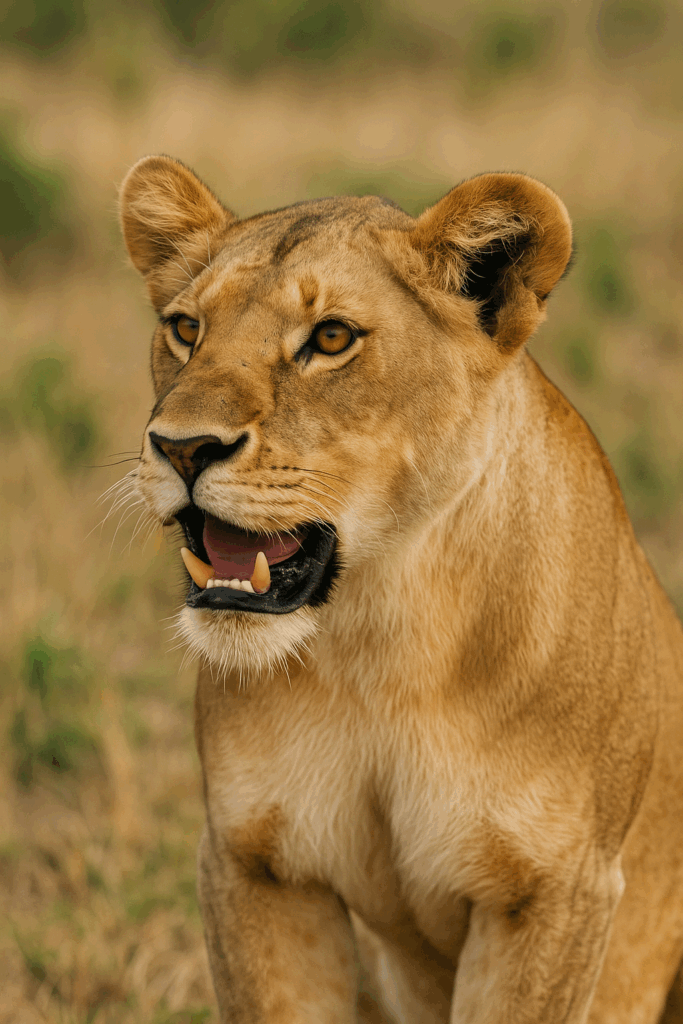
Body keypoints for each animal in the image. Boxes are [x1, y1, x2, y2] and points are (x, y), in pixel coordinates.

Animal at [119, 155, 683, 1023]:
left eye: (330, 338)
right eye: (186, 329)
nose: (181, 448)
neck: (379, 638)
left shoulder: (552, 891)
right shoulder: (254, 863)